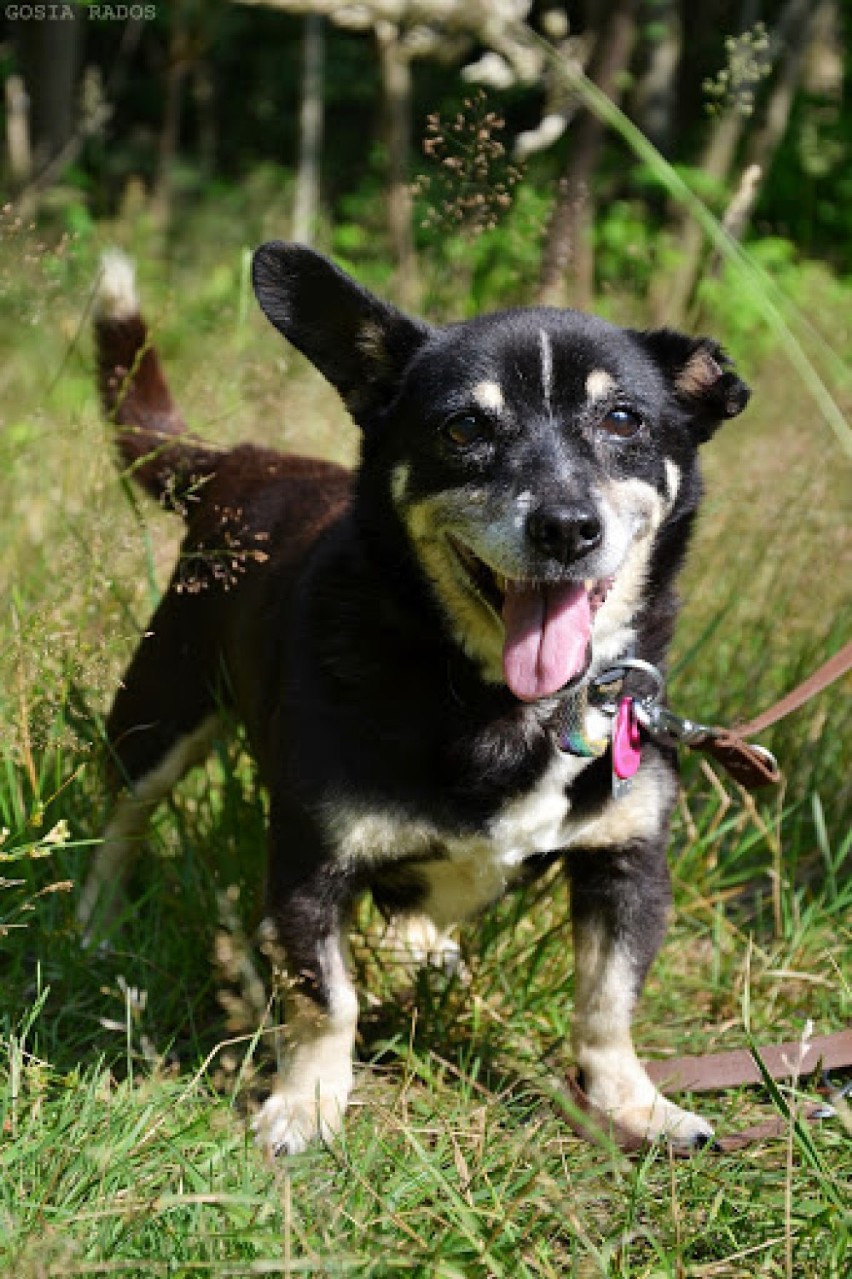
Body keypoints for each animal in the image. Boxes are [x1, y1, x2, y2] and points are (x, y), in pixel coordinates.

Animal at [78, 241, 741, 1161]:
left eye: (623, 420)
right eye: (464, 427)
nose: (566, 527)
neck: (504, 702)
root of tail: (242, 458)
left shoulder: (628, 862)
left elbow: (607, 1004)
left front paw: (636, 1104)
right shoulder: (309, 866)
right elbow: (326, 998)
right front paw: (308, 1104)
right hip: (158, 709)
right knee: (123, 817)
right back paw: (95, 924)